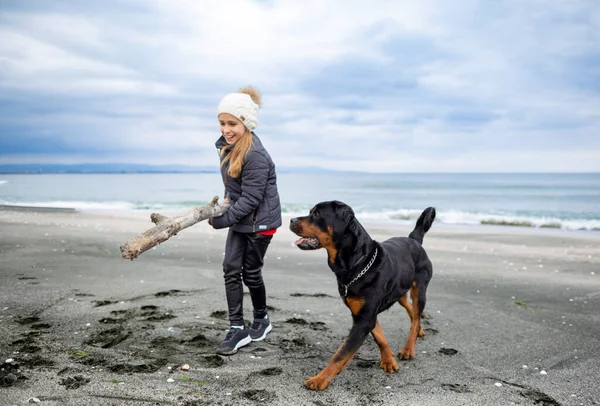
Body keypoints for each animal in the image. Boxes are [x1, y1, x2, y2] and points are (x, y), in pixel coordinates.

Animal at [290, 201, 436, 390]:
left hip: (420, 286)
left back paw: (408, 348)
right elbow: (380, 337)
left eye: (316, 214)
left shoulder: (364, 319)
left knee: (417, 314)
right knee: (410, 308)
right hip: (400, 289)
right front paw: (388, 361)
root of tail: (414, 240)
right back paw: (419, 331)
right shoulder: (364, 315)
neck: (358, 264)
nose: (291, 220)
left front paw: (320, 379)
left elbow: (340, 354)